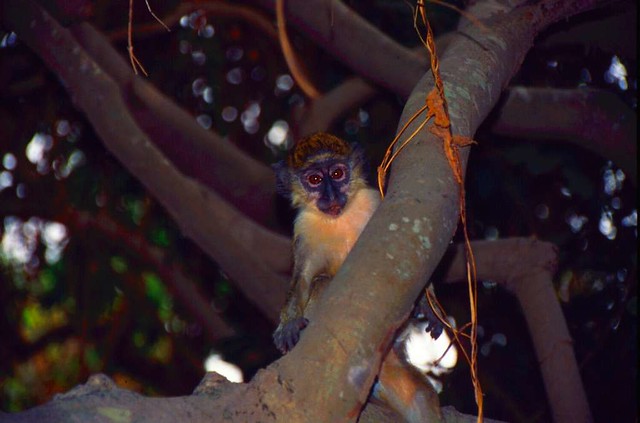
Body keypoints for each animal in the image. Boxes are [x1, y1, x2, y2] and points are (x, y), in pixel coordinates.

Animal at [272, 132, 457, 421]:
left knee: (421, 397)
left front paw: (431, 308)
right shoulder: (303, 228)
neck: (339, 217)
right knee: (321, 282)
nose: (331, 194)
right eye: (314, 180)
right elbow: (302, 279)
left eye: (337, 173)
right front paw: (288, 324)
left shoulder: (374, 202)